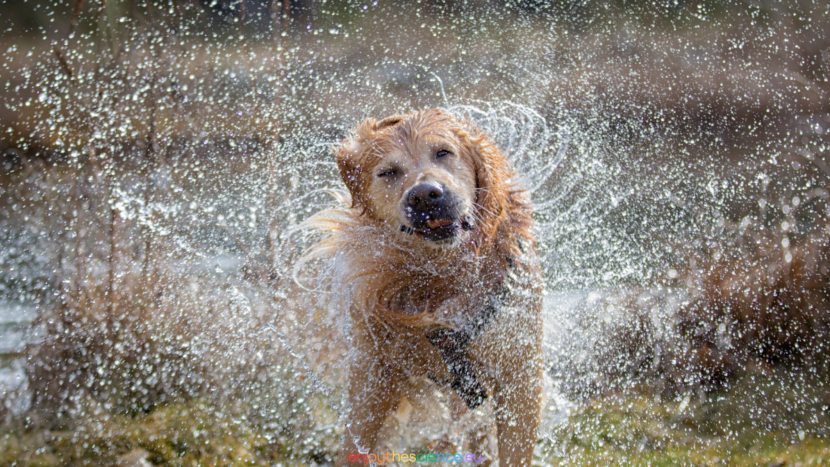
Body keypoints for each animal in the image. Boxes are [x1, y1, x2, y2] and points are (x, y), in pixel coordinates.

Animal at [300, 110, 544, 467]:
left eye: (443, 152)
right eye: (388, 172)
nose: (425, 194)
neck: (444, 274)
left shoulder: (520, 377)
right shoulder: (371, 378)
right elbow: (356, 444)